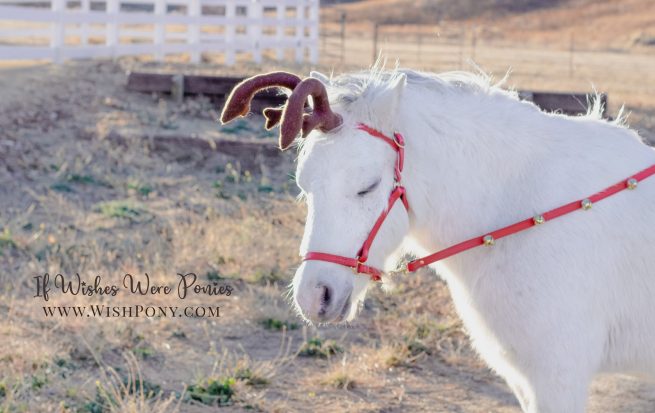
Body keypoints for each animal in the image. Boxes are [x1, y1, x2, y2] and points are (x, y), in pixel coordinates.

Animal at [220, 67, 655, 413]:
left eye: (367, 187)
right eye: (304, 186)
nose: (316, 296)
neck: (522, 200)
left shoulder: (558, 376)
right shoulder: (526, 379)